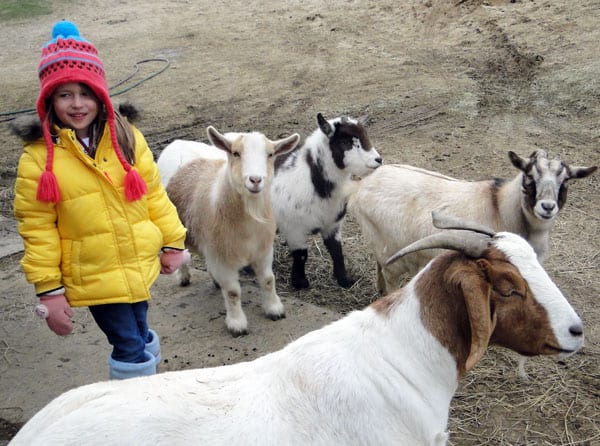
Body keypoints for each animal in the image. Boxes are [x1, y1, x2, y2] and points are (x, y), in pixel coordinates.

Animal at [159, 127, 300, 336]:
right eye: (236, 153)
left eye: (270, 154)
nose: (255, 180)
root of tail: (177, 142)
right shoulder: (222, 257)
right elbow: (233, 292)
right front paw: (237, 323)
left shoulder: (263, 250)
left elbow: (268, 280)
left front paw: (274, 309)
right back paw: (184, 277)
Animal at [270, 112, 382, 290]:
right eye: (344, 142)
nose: (378, 160)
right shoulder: (293, 228)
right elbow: (301, 255)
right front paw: (300, 282)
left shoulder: (332, 223)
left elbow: (337, 252)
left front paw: (344, 280)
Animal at [350, 150, 596, 296]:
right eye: (529, 177)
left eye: (565, 181)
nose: (547, 207)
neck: (500, 205)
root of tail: (362, 185)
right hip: (391, 252)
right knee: (390, 275)